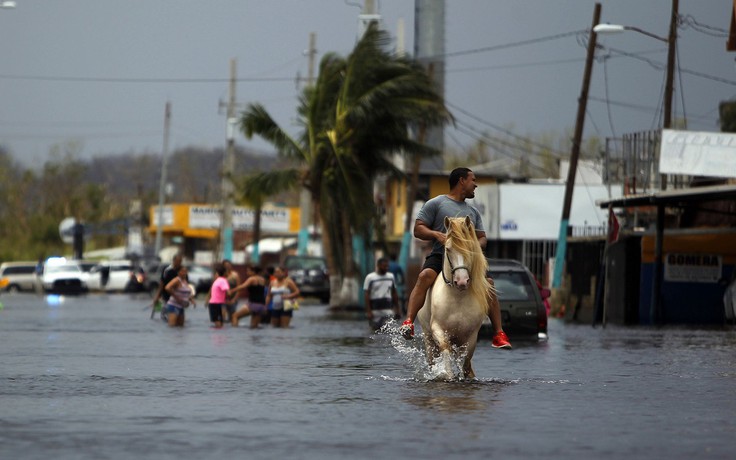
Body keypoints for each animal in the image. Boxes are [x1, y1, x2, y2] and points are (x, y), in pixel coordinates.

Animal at [416, 216, 492, 380]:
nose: (462, 281)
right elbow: (446, 349)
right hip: (427, 337)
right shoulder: (437, 329)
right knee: (432, 358)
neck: (458, 297)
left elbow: (466, 361)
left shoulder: (471, 336)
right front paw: (448, 375)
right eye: (448, 249)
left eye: (470, 247)